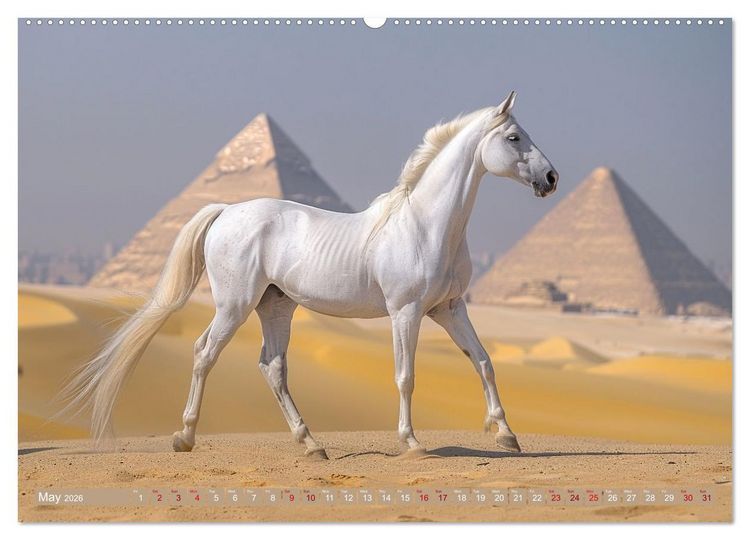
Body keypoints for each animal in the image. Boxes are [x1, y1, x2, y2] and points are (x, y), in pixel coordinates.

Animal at [63, 91, 558, 459]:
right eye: (514, 137)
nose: (551, 178)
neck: (427, 225)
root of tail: (225, 211)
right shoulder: (406, 311)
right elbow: (406, 375)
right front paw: (412, 442)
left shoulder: (449, 309)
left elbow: (484, 362)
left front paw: (506, 434)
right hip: (235, 305)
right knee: (205, 352)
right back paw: (184, 437)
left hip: (275, 306)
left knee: (272, 367)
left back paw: (311, 444)